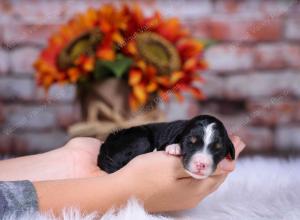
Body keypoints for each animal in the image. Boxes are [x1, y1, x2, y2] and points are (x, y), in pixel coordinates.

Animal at [98, 115, 234, 179]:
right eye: (190, 142)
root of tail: (104, 145)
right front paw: (174, 147)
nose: (201, 164)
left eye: (218, 148)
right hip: (141, 139)